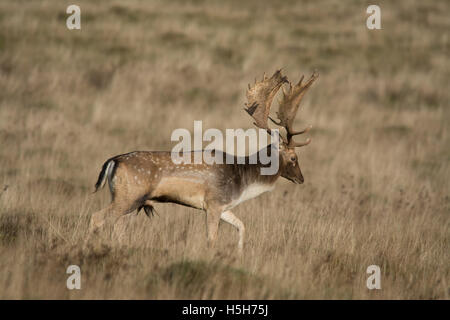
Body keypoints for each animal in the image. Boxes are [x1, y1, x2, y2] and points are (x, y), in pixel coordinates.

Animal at [87, 69, 320, 252]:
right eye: (294, 157)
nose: (301, 179)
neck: (243, 181)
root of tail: (113, 161)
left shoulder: (224, 206)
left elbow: (242, 226)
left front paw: (239, 254)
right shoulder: (214, 203)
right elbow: (212, 239)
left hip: (133, 202)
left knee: (118, 228)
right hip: (128, 196)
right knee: (97, 218)